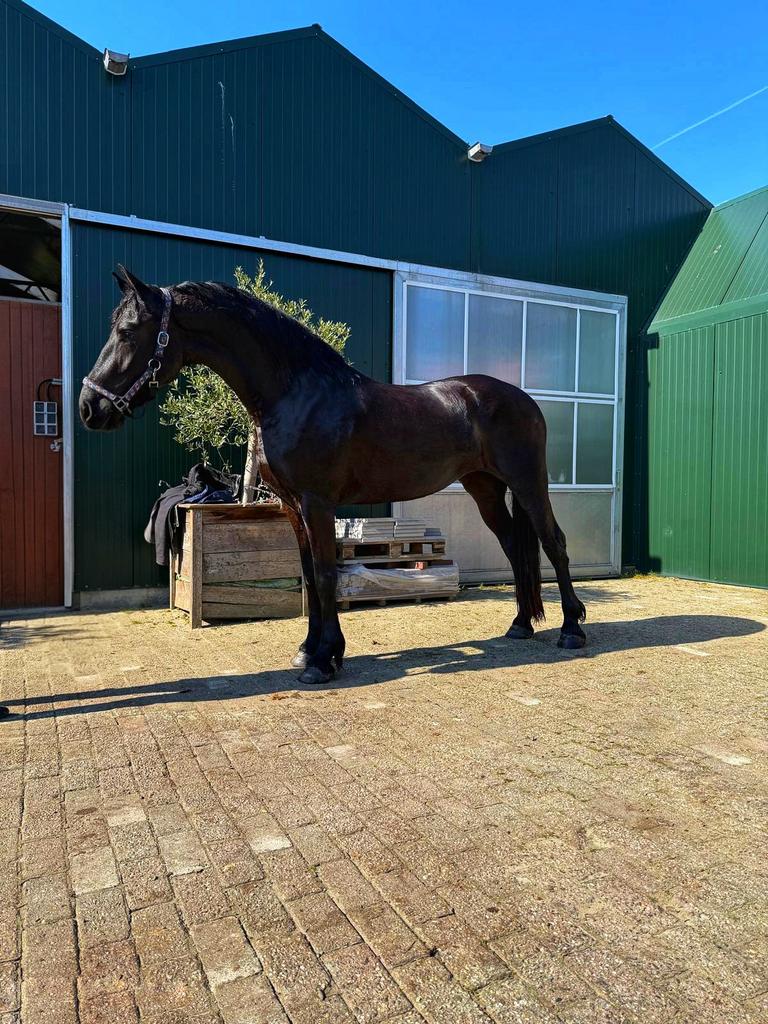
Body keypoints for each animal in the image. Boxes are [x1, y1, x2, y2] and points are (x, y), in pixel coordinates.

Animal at [80, 266, 587, 684]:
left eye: (128, 331)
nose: (89, 408)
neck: (296, 393)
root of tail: (522, 398)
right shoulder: (291, 507)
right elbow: (307, 574)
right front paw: (310, 650)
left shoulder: (317, 502)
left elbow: (325, 574)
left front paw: (324, 661)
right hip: (486, 489)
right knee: (514, 548)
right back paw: (520, 625)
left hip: (529, 483)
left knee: (555, 544)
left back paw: (571, 629)